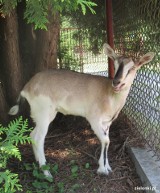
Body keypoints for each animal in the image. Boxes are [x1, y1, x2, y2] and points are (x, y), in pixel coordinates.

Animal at [8, 43, 154, 176]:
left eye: (133, 67)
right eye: (115, 64)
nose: (117, 82)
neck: (108, 94)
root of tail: (27, 87)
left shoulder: (107, 123)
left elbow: (106, 141)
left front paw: (107, 167)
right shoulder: (93, 119)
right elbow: (106, 140)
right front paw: (102, 170)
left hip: (45, 115)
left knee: (32, 135)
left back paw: (38, 163)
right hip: (43, 113)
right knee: (39, 138)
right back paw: (46, 172)